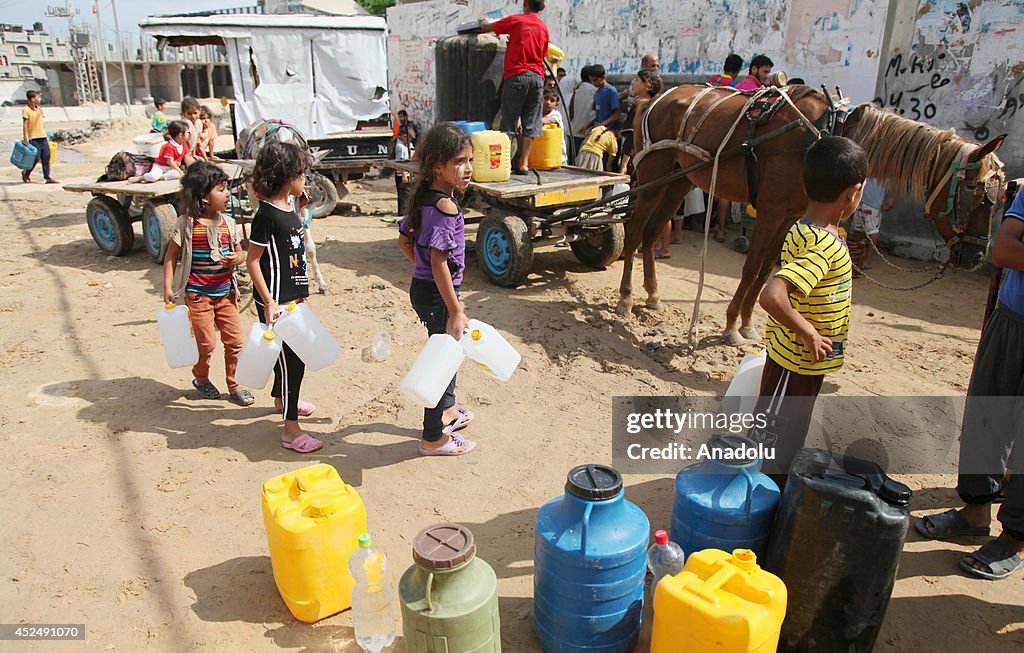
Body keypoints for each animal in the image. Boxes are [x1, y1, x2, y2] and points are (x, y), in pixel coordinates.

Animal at [618, 85, 1003, 347]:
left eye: (999, 198)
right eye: (976, 193)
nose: (976, 256)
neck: (825, 133)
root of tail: (652, 99)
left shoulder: (790, 215)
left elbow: (766, 271)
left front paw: (747, 324)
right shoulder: (771, 210)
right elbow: (752, 268)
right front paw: (730, 327)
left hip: (680, 180)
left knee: (652, 233)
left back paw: (652, 295)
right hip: (653, 176)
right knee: (634, 232)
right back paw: (625, 298)